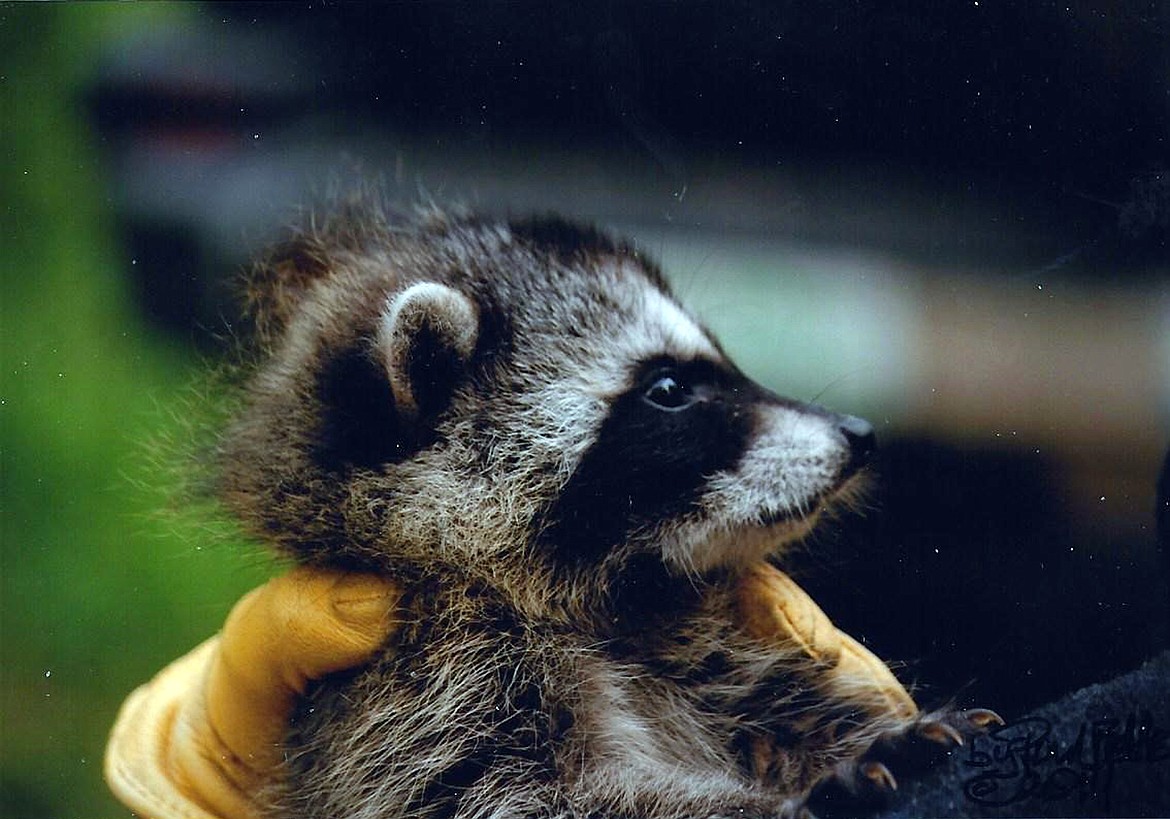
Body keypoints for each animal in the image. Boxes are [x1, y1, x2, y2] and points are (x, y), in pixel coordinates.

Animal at [217, 201, 987, 814]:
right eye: (669, 388)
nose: (858, 435)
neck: (600, 601)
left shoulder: (705, 647)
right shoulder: (414, 685)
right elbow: (510, 796)